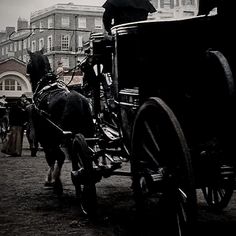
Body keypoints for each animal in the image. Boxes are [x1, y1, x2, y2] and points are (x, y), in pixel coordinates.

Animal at [26, 48, 94, 195]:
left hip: (63, 135)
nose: (27, 73)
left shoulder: (44, 135)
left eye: (28, 62)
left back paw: (61, 182)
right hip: (86, 133)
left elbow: (51, 157)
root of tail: (78, 100)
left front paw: (50, 179)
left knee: (64, 156)